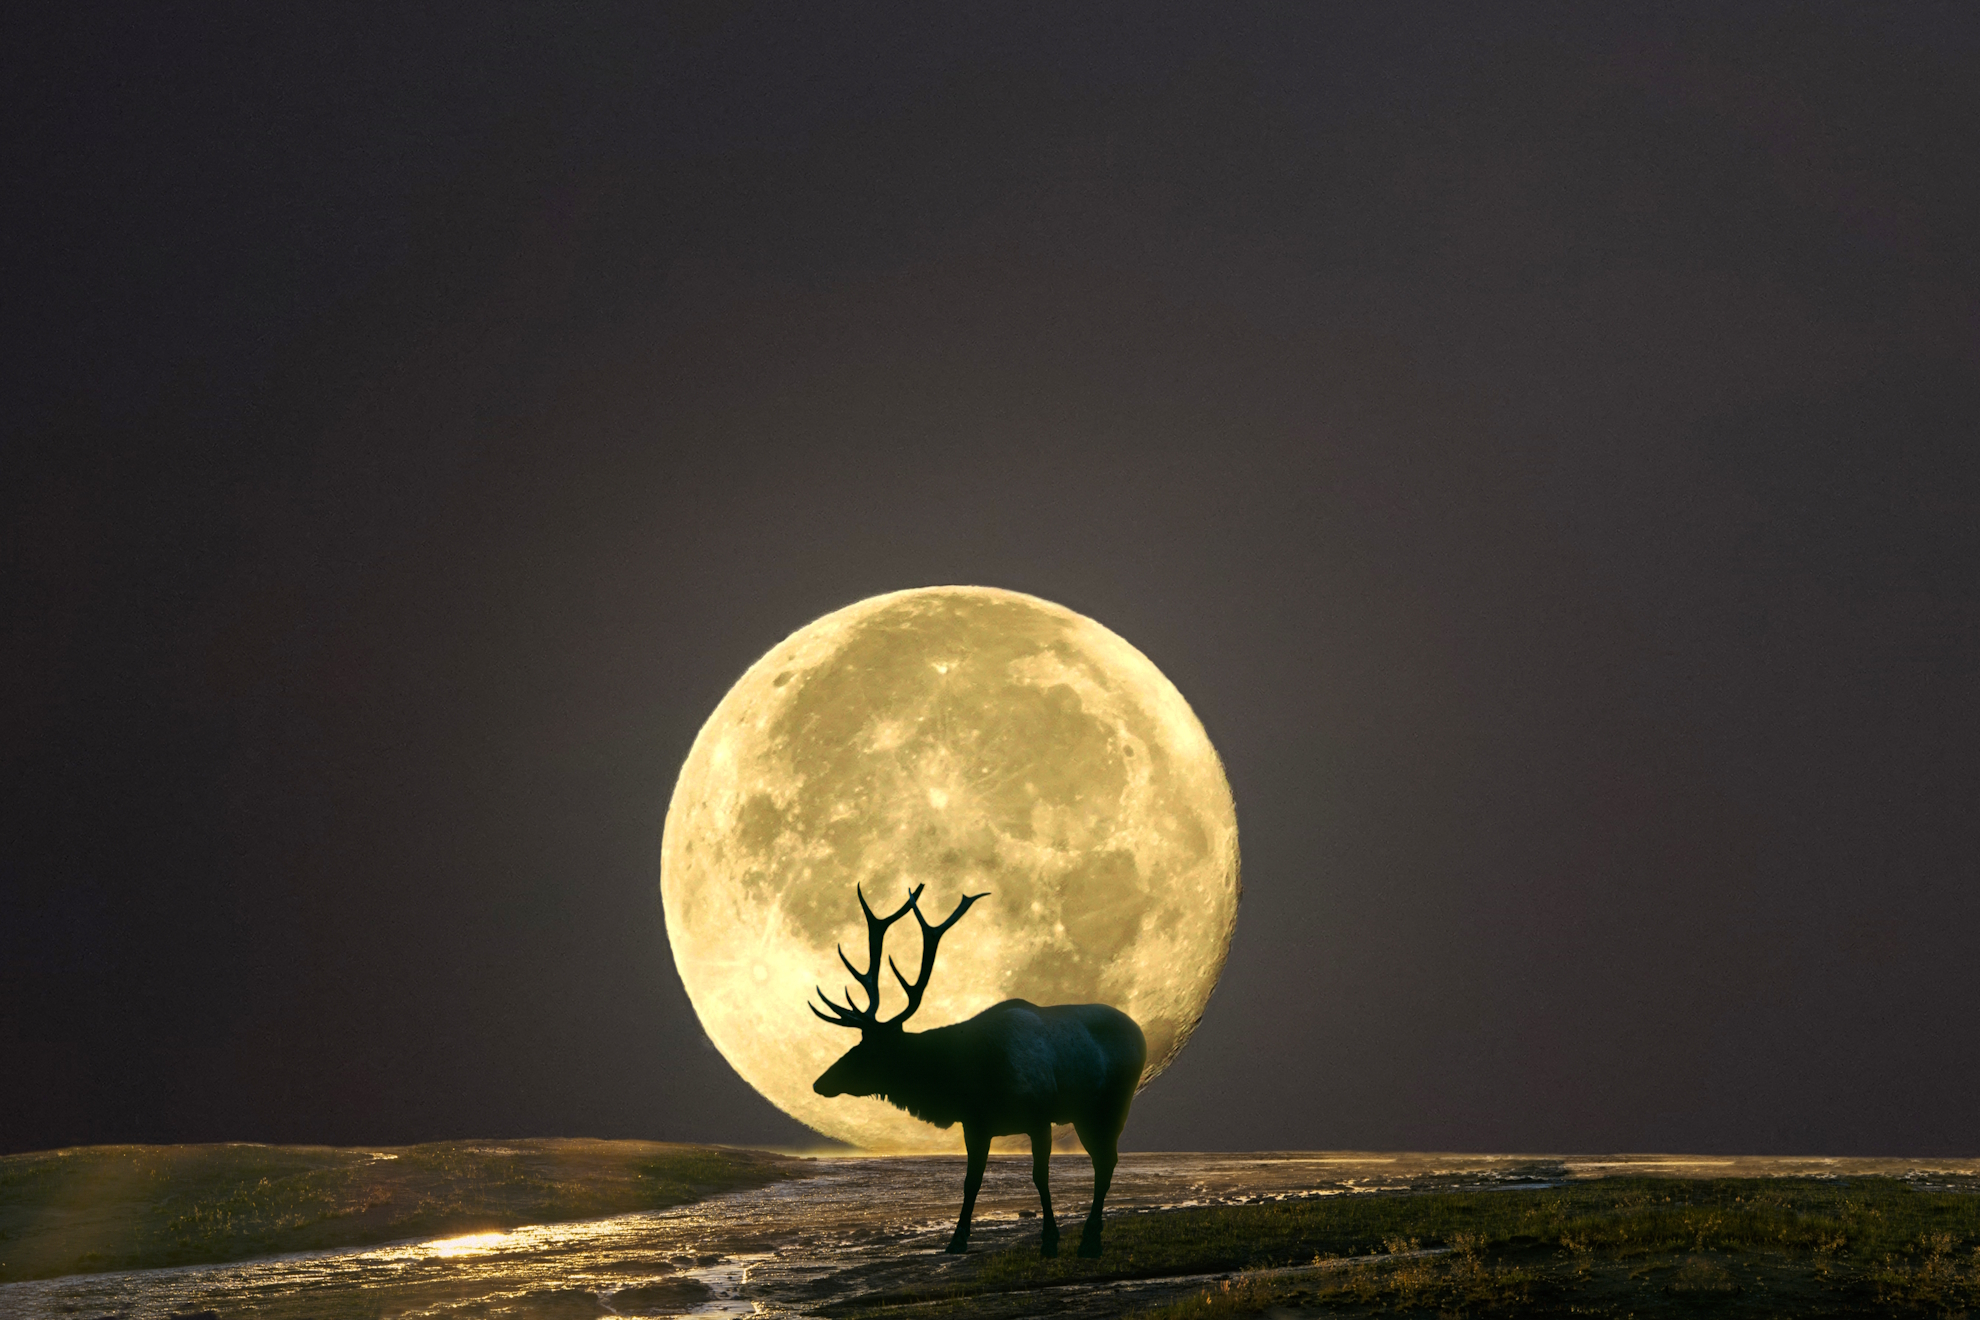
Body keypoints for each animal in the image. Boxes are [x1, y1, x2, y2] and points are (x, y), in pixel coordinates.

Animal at [811, 883, 1147, 1258]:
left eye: (867, 1051)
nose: (819, 1082)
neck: (971, 1077)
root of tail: (1140, 1032)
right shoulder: (976, 1123)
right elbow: (971, 1181)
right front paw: (957, 1239)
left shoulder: (1038, 1116)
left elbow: (1039, 1177)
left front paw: (1049, 1238)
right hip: (1084, 1114)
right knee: (1104, 1160)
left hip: (1112, 1104)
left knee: (1106, 1161)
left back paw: (1090, 1239)